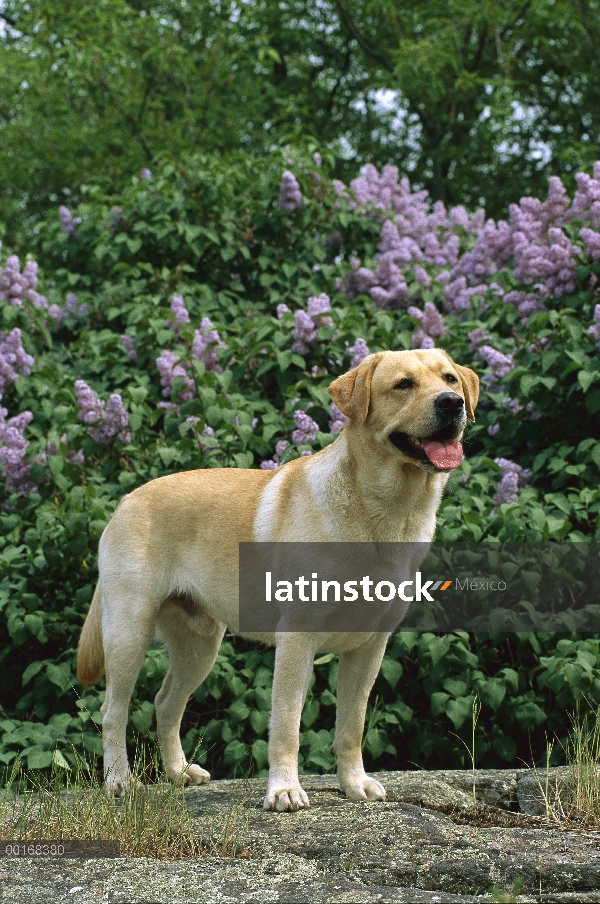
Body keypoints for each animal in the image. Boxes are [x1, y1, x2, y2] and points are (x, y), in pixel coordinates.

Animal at [76, 348, 478, 812]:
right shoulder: (297, 642)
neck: (387, 512)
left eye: (449, 378)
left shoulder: (369, 648)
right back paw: (119, 782)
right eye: (403, 385)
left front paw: (354, 784)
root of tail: (125, 500)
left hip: (200, 645)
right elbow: (286, 725)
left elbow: (352, 726)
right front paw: (284, 790)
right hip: (129, 633)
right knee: (112, 710)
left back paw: (179, 772)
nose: (452, 403)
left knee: (165, 703)